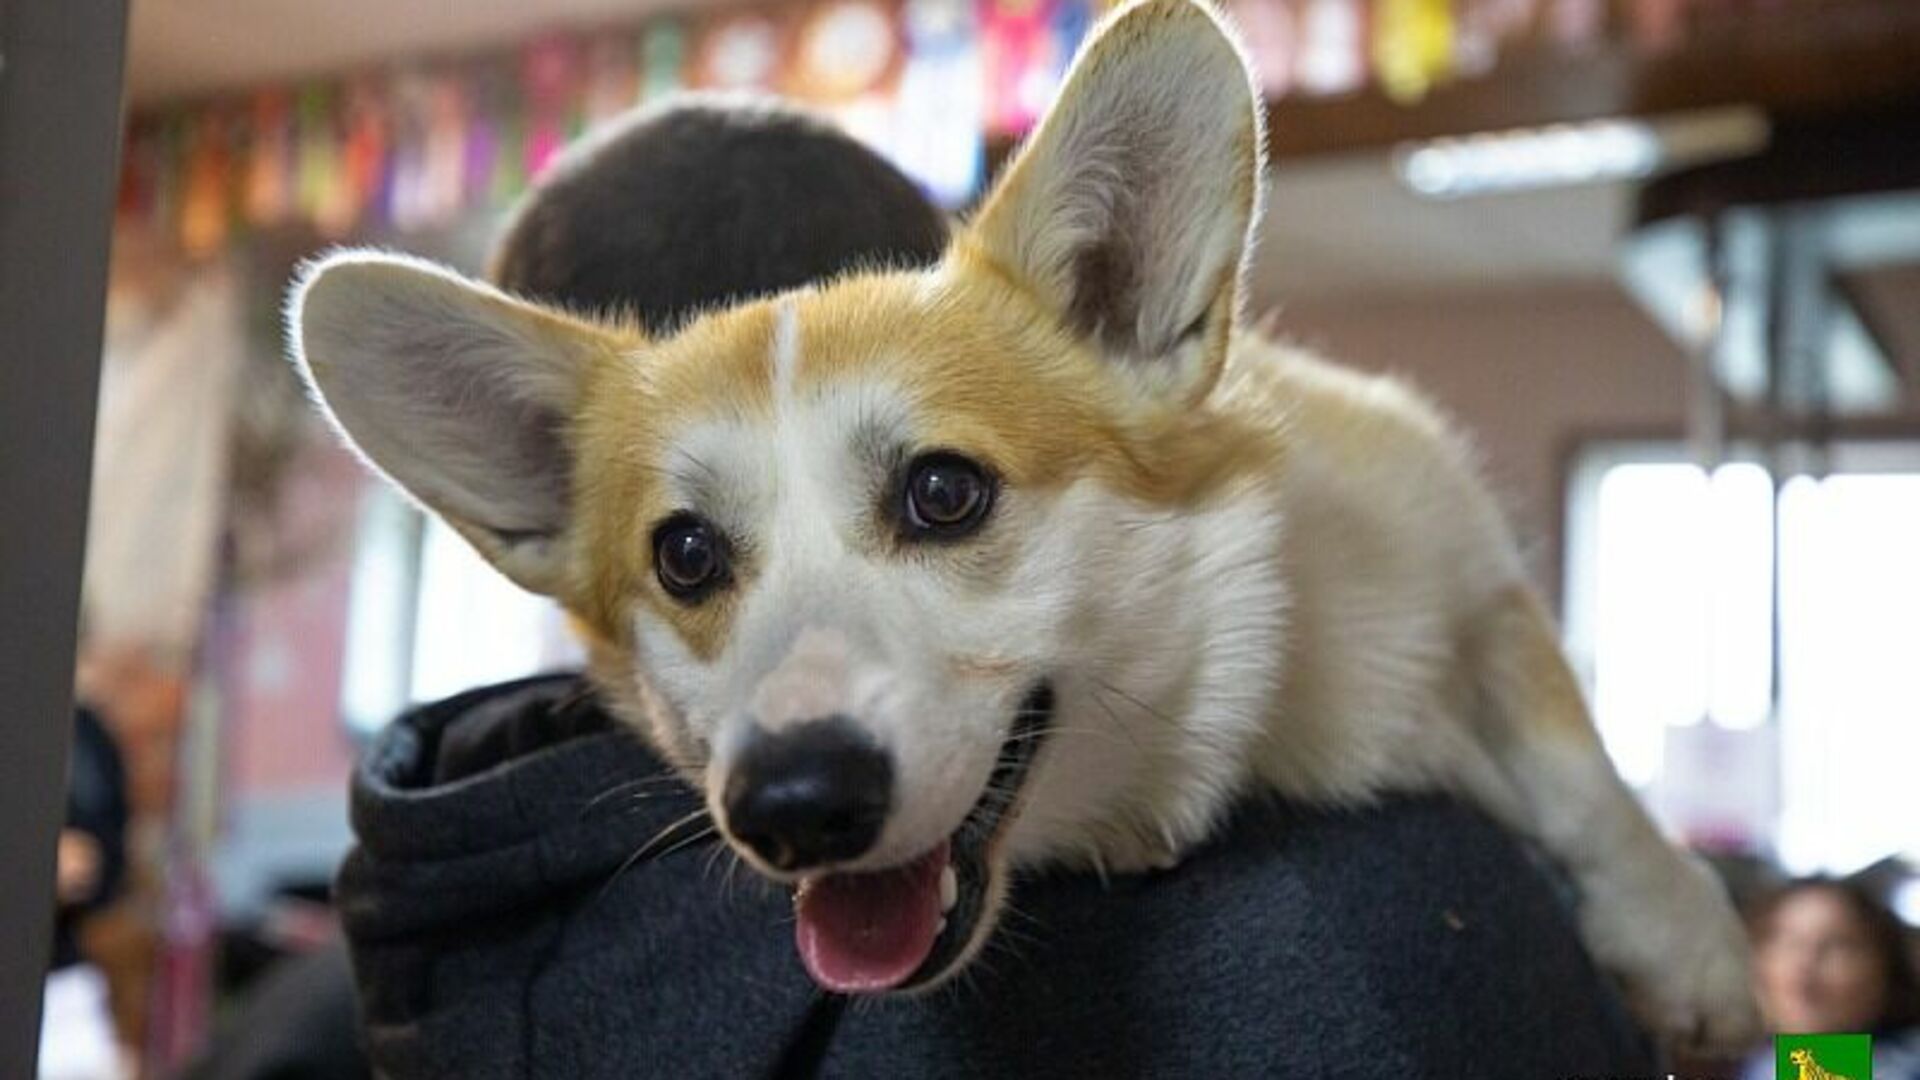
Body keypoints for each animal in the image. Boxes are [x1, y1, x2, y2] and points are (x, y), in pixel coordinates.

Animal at [289, 0, 1759, 1050]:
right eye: (686, 555)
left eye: (945, 493)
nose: (793, 807)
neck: (1229, 732)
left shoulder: (1463, 556)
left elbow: (1579, 767)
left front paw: (1688, 944)